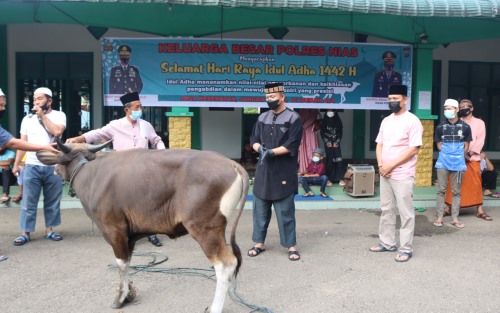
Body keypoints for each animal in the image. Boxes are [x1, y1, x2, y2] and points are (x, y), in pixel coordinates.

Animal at [37, 140, 250, 310]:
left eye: (59, 153)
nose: (53, 168)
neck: (91, 175)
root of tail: (232, 163)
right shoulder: (129, 236)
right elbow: (127, 262)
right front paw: (129, 293)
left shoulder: (114, 230)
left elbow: (120, 263)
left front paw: (120, 298)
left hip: (205, 229)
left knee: (226, 264)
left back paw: (214, 308)